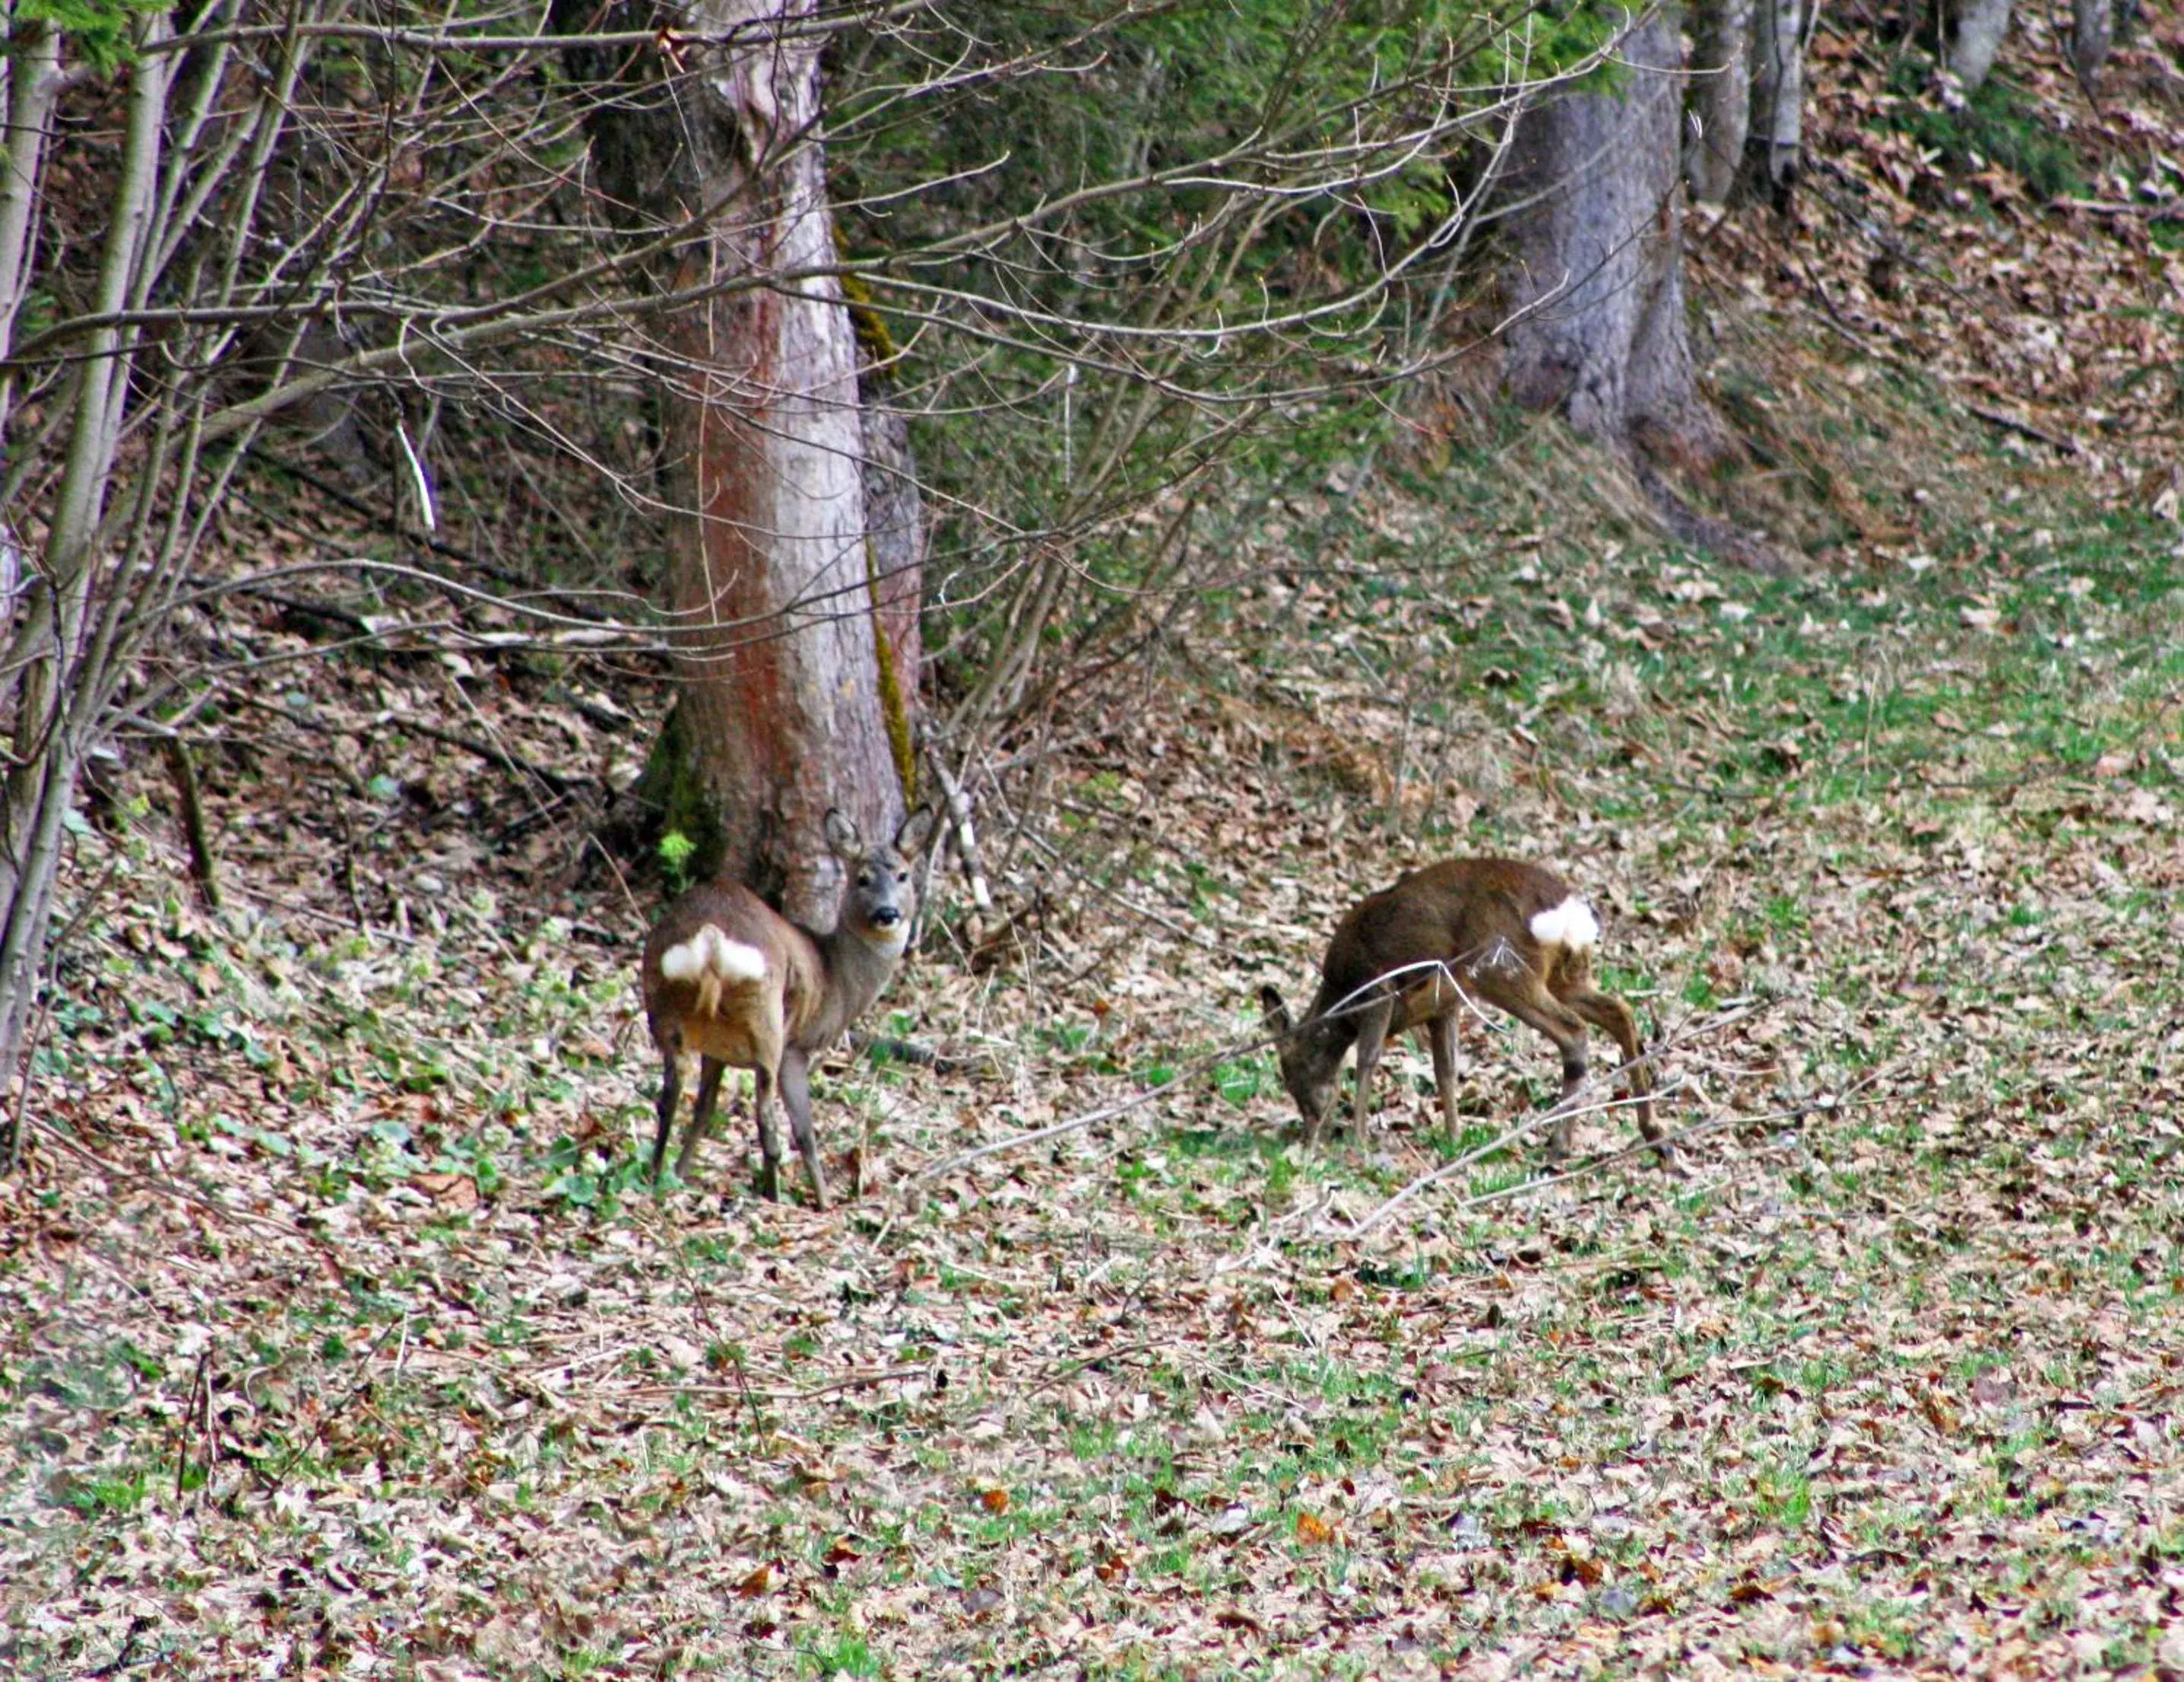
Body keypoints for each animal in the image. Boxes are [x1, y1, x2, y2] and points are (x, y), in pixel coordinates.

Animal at [637, 804, 934, 1197]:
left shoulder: (717, 1050)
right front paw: (824, 1199)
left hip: (662, 999)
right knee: (766, 1115)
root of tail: (711, 940)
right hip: (767, 1019)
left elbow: (704, 1110)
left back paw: (656, 1175)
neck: (835, 976)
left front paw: (681, 1172)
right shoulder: (798, 1047)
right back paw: (773, 1195)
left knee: (669, 1093)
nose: (887, 913)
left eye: (903, 875)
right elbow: (805, 1131)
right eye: (862, 879)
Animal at [1257, 856, 1659, 1162]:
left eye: (1291, 1075)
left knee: (1574, 1031)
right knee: (1620, 1012)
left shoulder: (1379, 989)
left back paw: (1560, 1145)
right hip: (1567, 975)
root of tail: (1568, 914)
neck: (1341, 999)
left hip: (1501, 969)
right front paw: (1453, 1136)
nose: (1311, 1133)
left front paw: (1358, 1140)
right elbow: (1447, 1070)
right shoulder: (1444, 1007)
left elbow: (1367, 1059)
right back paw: (1655, 1134)